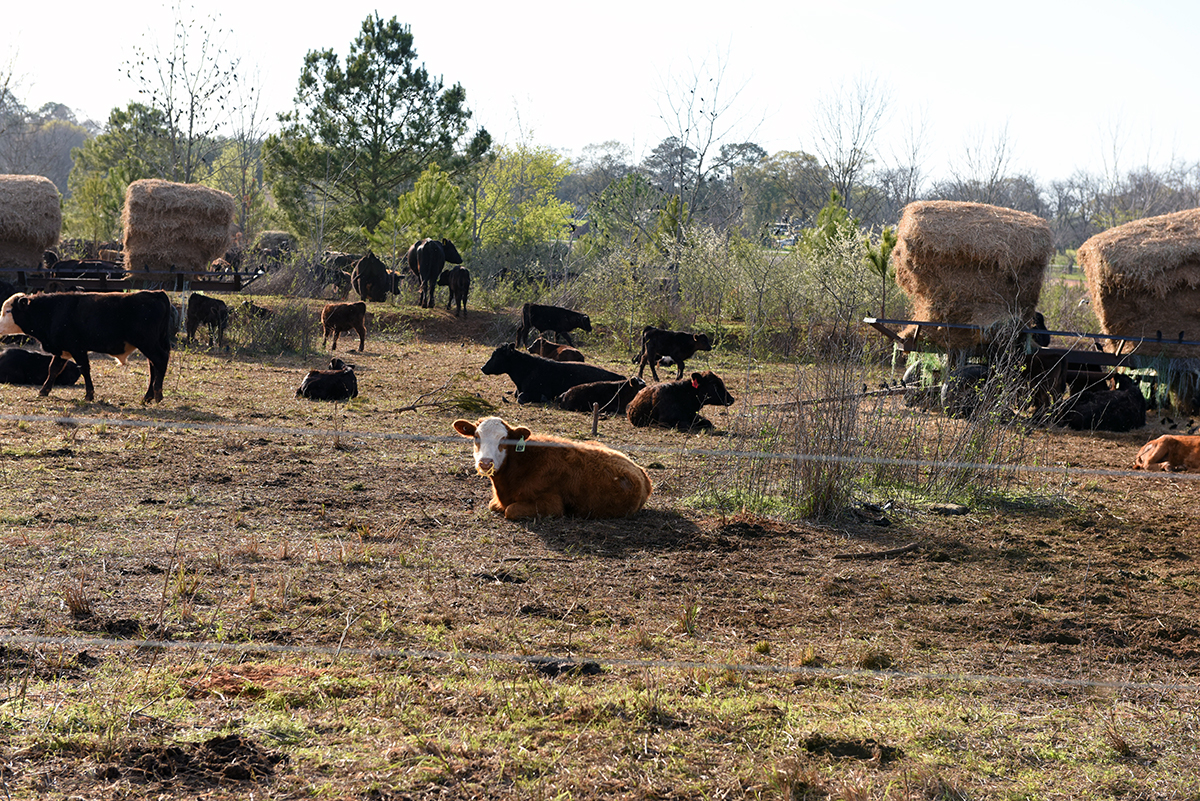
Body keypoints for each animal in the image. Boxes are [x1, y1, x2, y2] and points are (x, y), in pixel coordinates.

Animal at [0, 288, 175, 402]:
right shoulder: (62, 350)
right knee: (153, 366)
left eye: (8, 311)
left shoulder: (77, 349)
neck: (53, 311)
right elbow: (53, 369)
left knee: (160, 360)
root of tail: (156, 294)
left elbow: (84, 369)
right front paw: (44, 391)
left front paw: (89, 395)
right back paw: (148, 396)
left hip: (148, 343)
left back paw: (157, 394)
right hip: (149, 345)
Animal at [451, 417, 657, 522]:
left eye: (504, 439)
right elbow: (493, 504)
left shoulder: (551, 505)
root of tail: (641, 472)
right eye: (476, 436)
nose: (486, 463)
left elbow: (510, 510)